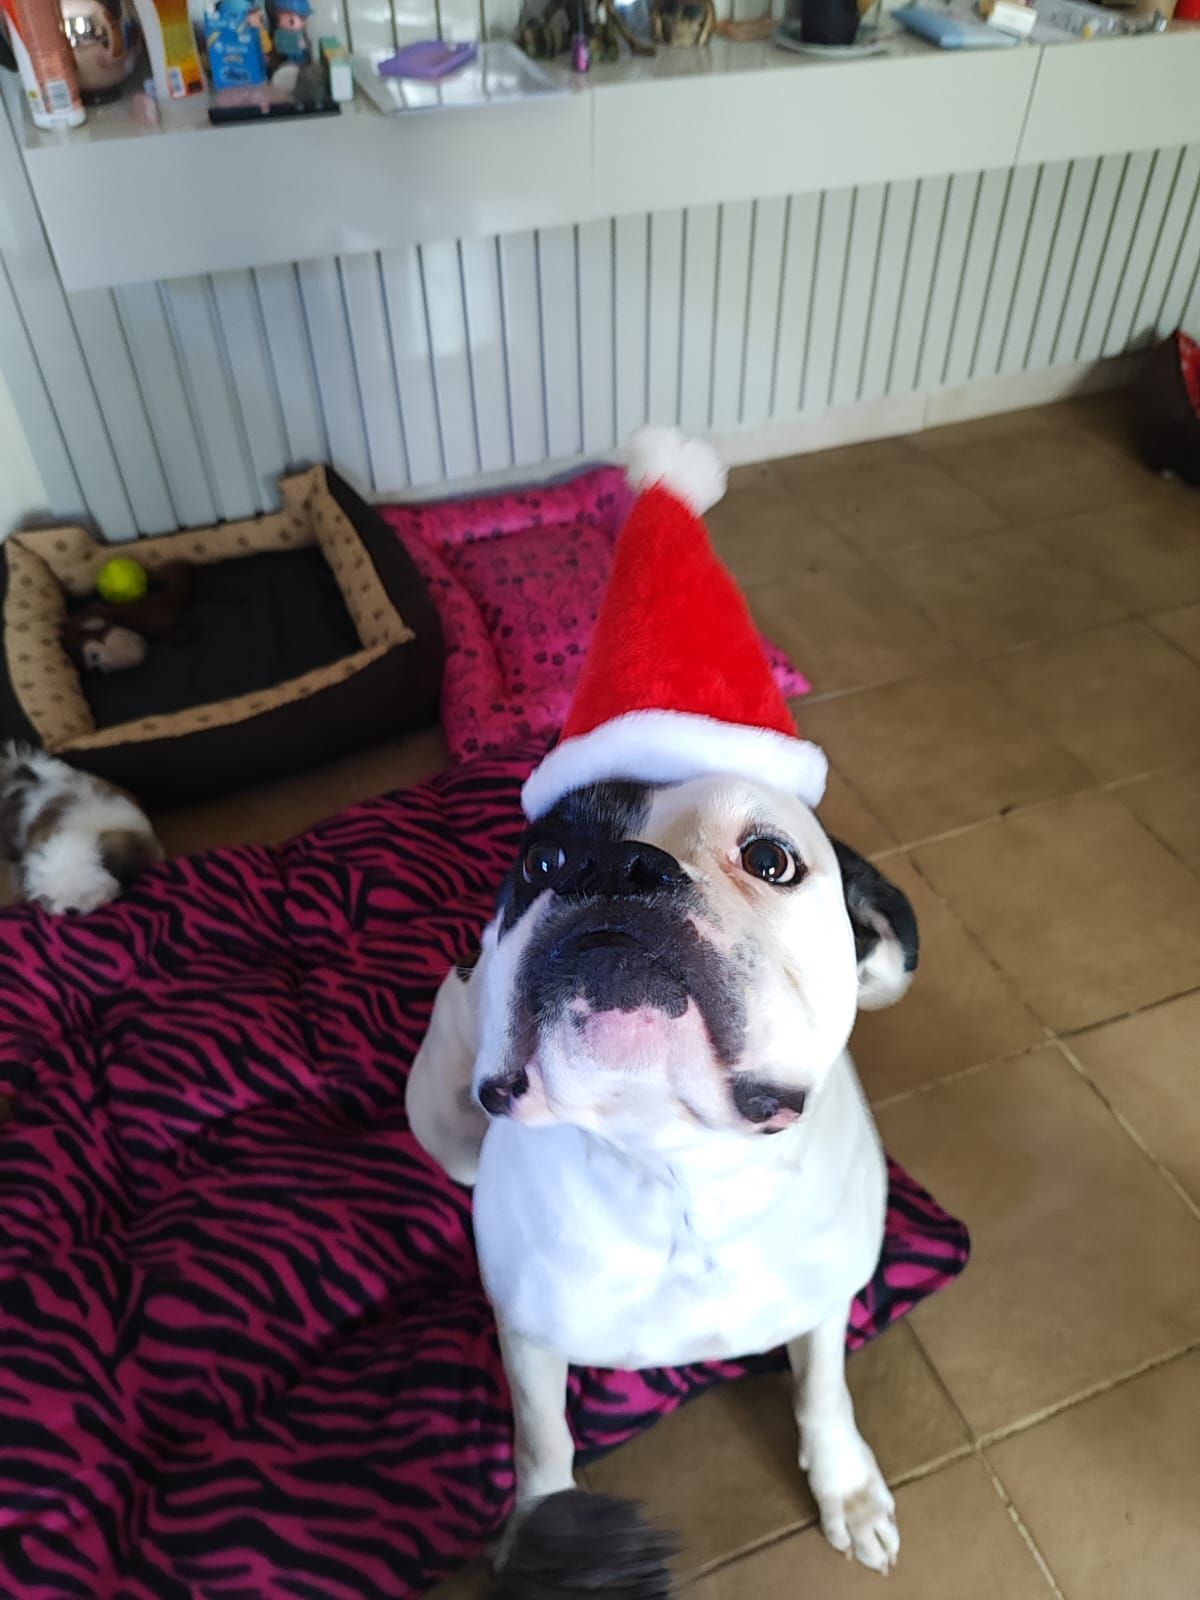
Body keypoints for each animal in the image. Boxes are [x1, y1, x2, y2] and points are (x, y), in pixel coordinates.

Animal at [408, 769, 919, 1586]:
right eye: (543, 859)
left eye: (770, 859)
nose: (620, 866)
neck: (671, 1165)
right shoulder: (528, 1338)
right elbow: (542, 1438)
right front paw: (540, 1532)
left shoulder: (824, 1302)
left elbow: (823, 1391)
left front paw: (847, 1487)